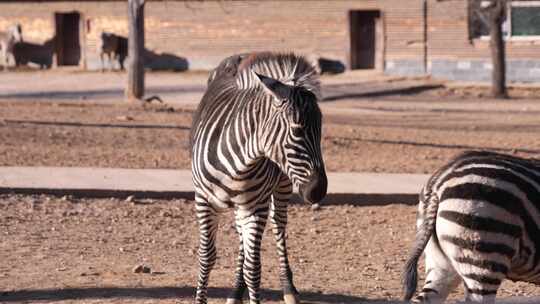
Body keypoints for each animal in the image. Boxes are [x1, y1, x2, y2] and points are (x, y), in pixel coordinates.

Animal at [190, 52, 326, 304]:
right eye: (297, 130)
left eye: (321, 133)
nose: (318, 191)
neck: (240, 163)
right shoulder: (203, 200)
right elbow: (206, 257)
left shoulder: (255, 207)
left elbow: (253, 269)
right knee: (241, 239)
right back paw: (236, 291)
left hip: (279, 187)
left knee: (278, 226)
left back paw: (287, 288)